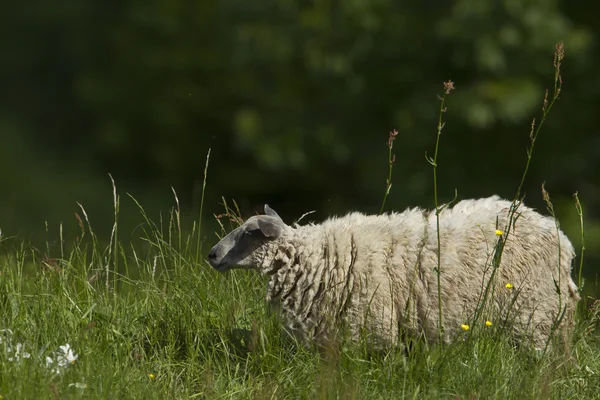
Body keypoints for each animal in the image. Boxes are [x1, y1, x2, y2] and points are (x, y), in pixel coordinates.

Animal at [209, 197, 580, 350]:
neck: (318, 257)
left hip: (535, 316)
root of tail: (558, 234)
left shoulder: (374, 331)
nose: (211, 255)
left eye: (249, 234)